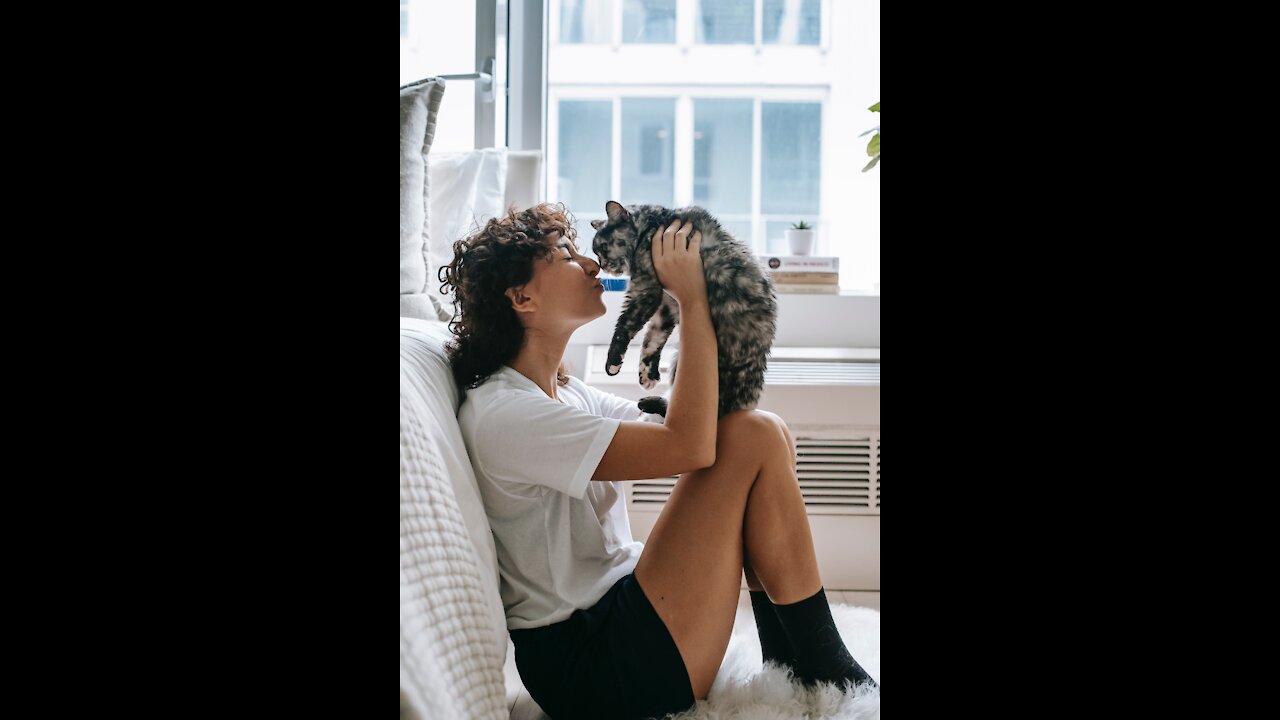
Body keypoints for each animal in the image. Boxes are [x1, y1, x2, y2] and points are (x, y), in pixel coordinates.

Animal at [588, 198, 778, 417]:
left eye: (602, 247)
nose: (602, 265)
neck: (651, 225)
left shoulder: (646, 291)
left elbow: (625, 326)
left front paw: (613, 362)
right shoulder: (667, 306)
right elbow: (653, 340)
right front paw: (648, 375)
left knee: (715, 409)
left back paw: (652, 404)